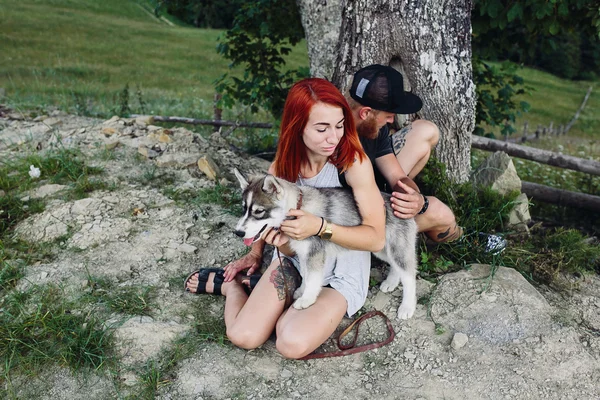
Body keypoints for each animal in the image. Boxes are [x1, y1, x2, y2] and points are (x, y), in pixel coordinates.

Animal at [233, 169, 418, 318]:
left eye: (259, 211)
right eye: (243, 208)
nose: (238, 232)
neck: (298, 207)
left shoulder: (314, 252)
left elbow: (313, 278)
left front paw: (307, 299)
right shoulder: (303, 253)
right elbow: (306, 275)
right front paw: (302, 290)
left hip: (395, 247)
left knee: (409, 275)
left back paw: (408, 306)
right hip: (380, 248)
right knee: (396, 266)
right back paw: (391, 282)